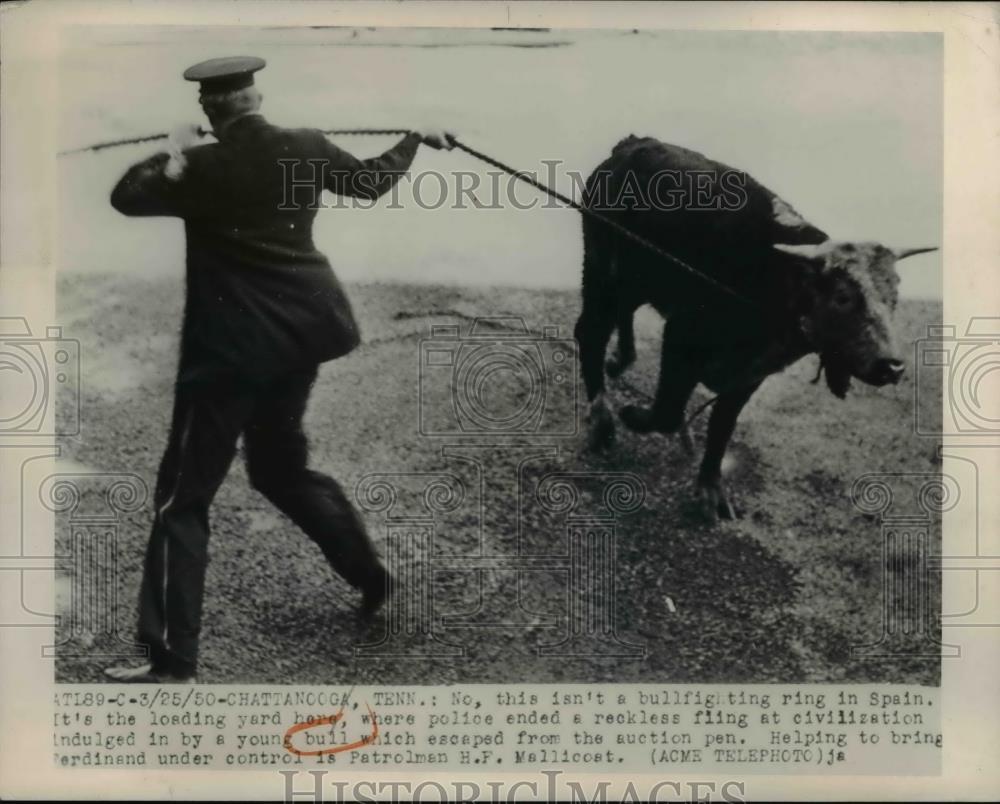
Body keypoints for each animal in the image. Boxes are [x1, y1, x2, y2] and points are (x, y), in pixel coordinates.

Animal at [576, 135, 932, 520]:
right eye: (842, 297)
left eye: (894, 296)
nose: (892, 366)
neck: (771, 279)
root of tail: (632, 143)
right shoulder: (681, 338)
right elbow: (668, 412)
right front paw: (633, 416)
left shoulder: (749, 374)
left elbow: (722, 426)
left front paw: (711, 492)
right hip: (601, 272)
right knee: (590, 333)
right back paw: (602, 421)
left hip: (633, 283)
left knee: (619, 319)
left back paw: (620, 360)